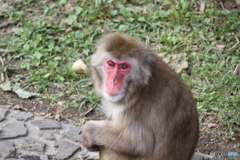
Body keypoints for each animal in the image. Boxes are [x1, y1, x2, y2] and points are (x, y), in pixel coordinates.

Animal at [81, 32, 199, 160]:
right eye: (111, 64)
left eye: (124, 67)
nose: (113, 81)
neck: (139, 87)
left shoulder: (137, 108)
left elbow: (137, 144)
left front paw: (88, 129)